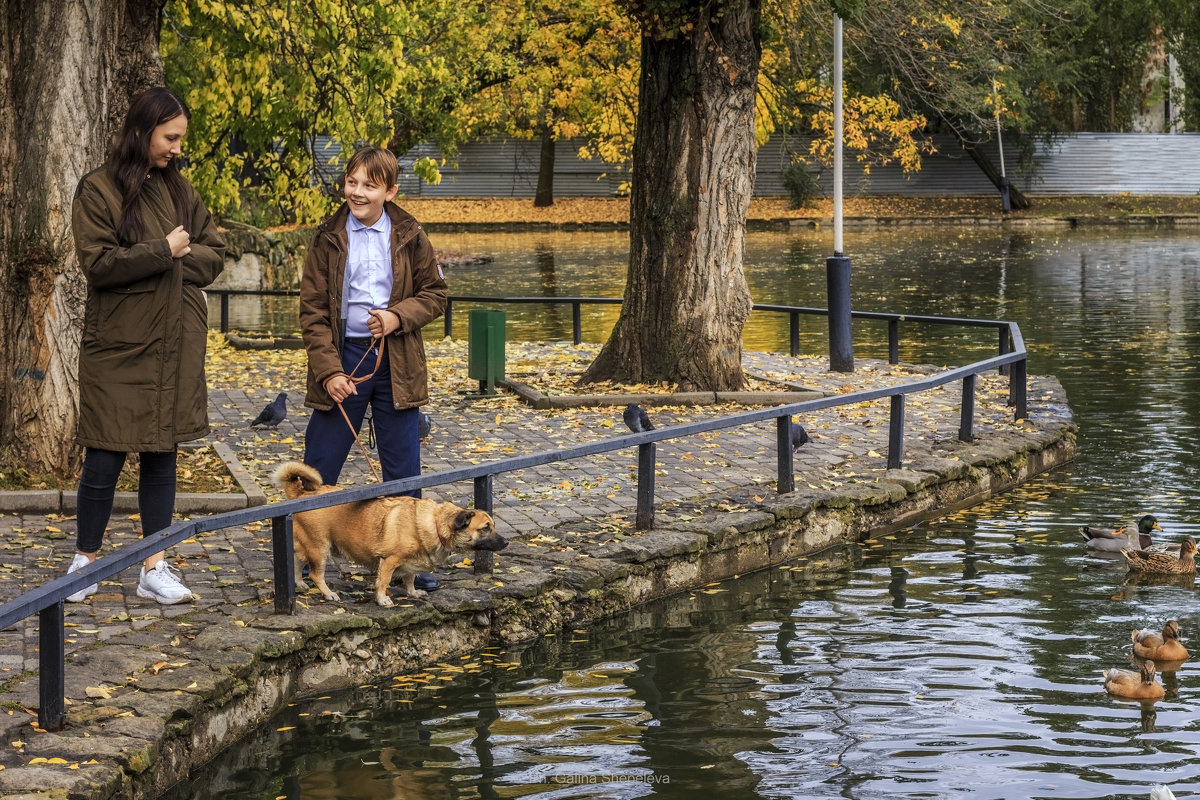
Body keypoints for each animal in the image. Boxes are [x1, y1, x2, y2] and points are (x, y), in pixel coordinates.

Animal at [273, 462, 506, 606]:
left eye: (493, 525)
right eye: (485, 528)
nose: (506, 542)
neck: (435, 523)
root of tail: (301, 494)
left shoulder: (413, 564)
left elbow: (410, 578)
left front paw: (412, 592)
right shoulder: (389, 560)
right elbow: (383, 582)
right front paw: (382, 599)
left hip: (309, 546)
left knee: (296, 562)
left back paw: (299, 583)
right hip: (320, 549)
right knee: (315, 574)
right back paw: (328, 593)